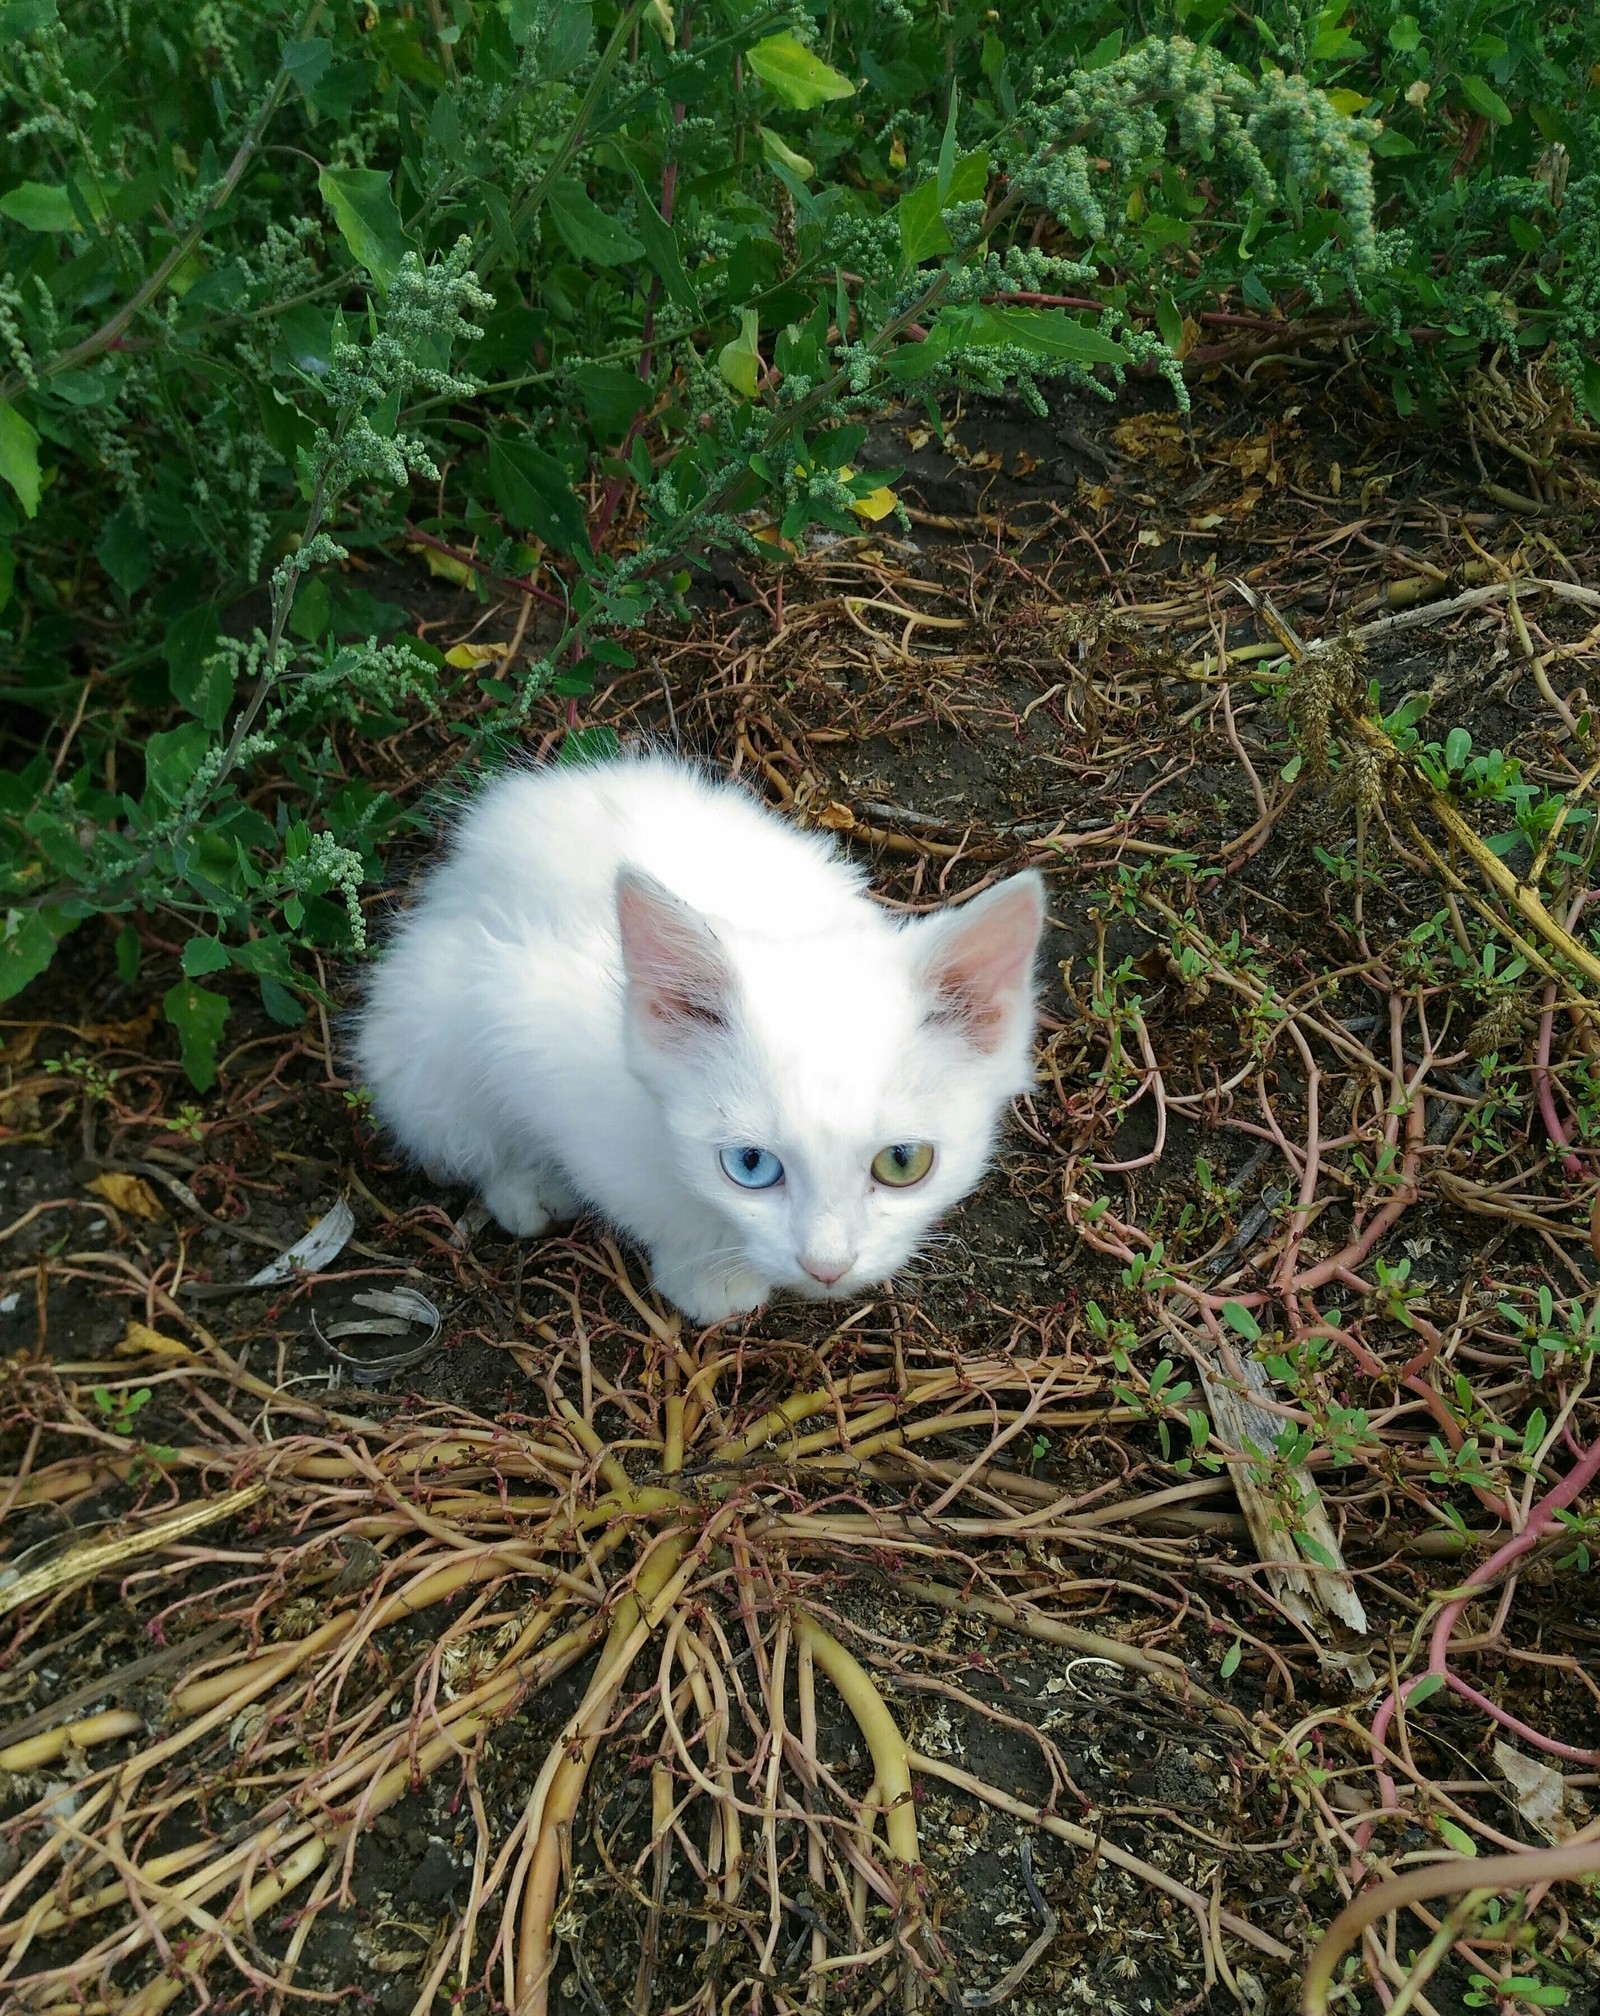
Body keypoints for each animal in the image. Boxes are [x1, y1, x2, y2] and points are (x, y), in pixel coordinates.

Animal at [350, 753, 1039, 1322]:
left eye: (903, 1162)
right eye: (751, 1165)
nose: (827, 1268)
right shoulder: (523, 1024)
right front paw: (708, 1272)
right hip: (419, 1024)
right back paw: (526, 1186)